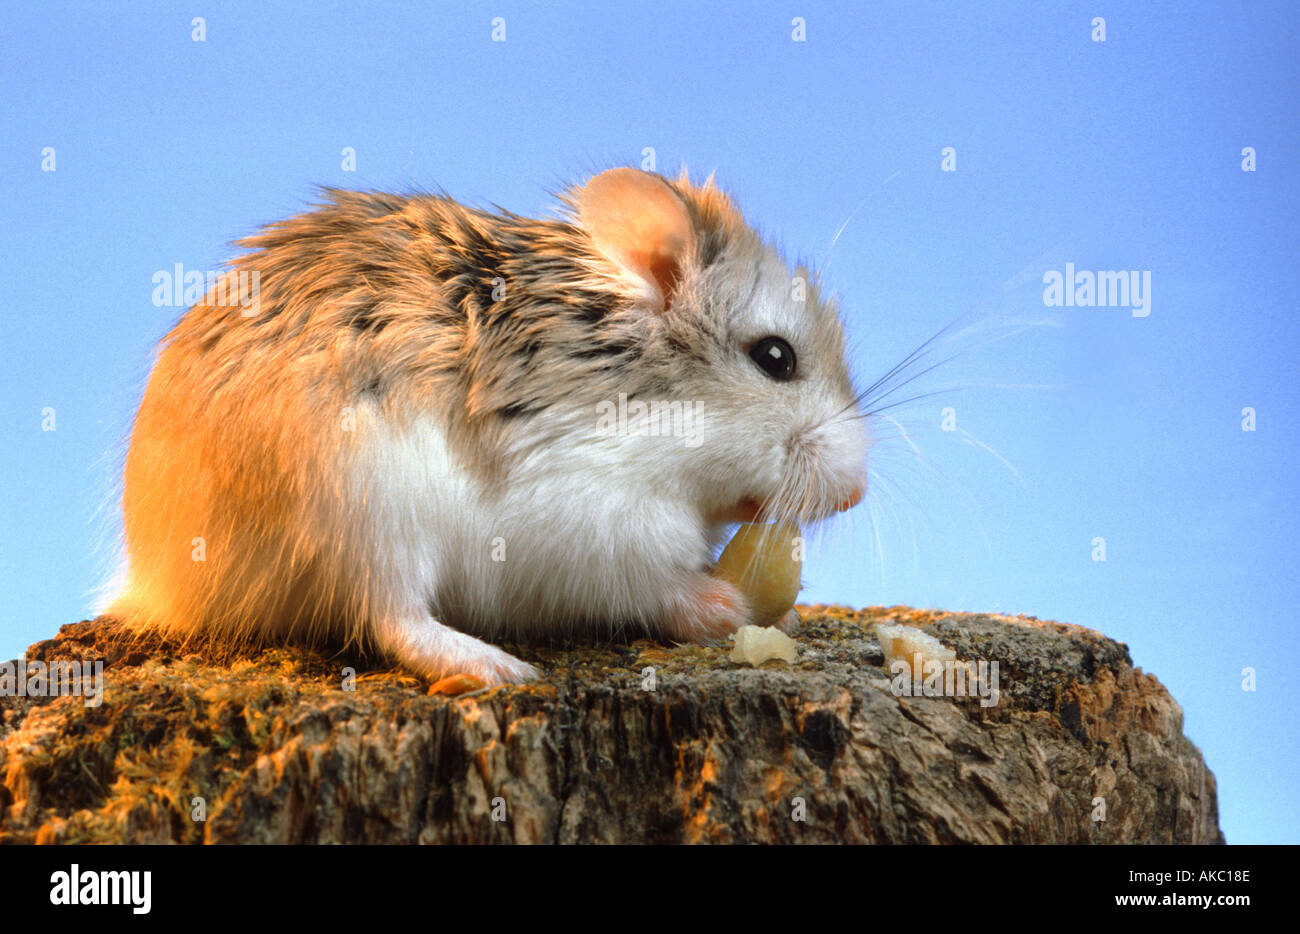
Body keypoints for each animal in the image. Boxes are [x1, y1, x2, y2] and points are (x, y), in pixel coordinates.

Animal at [109, 167, 863, 681]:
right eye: (775, 357)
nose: (855, 493)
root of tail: (159, 581)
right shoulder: (590, 523)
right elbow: (654, 584)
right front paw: (725, 607)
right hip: (362, 511)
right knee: (392, 619)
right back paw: (499, 669)